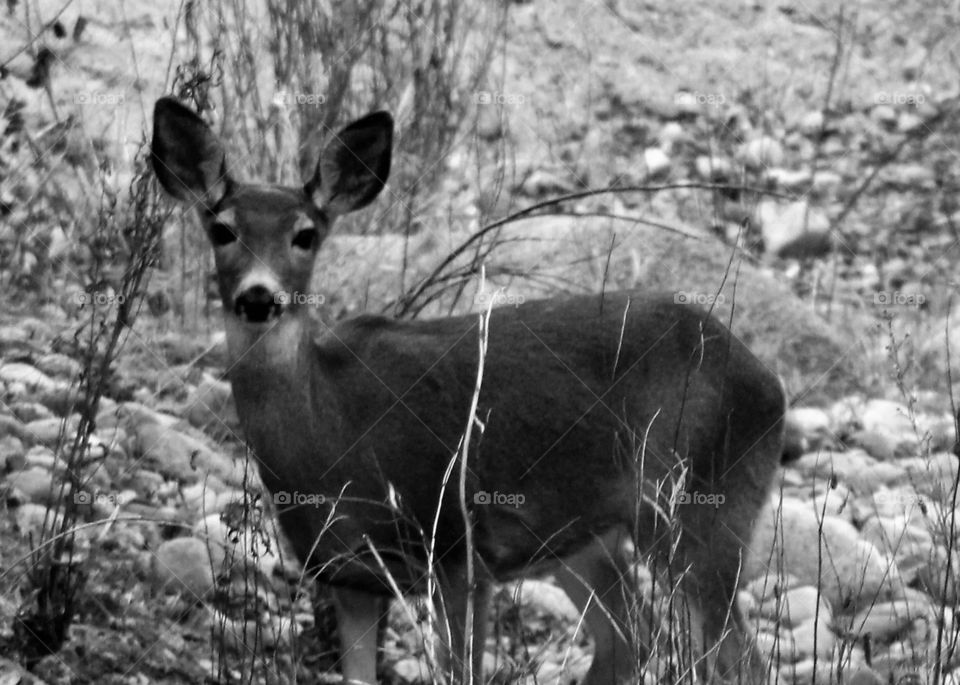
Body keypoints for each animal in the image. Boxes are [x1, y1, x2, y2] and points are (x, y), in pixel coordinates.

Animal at [150, 96, 785, 685]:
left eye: (305, 235)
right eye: (223, 229)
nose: (259, 297)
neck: (332, 434)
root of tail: (768, 384)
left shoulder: (459, 549)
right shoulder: (347, 576)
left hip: (699, 504)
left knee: (737, 658)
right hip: (589, 538)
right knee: (631, 641)